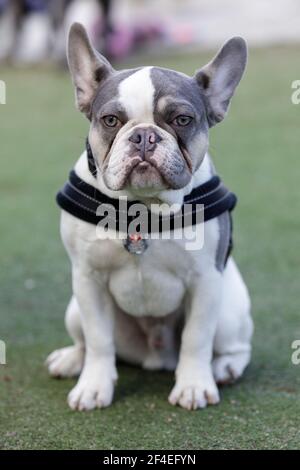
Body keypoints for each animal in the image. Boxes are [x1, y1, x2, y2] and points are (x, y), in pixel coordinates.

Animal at [46, 23, 253, 412]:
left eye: (182, 120)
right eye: (111, 120)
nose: (144, 135)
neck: (142, 208)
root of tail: (155, 357)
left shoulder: (205, 282)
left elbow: (196, 338)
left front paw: (193, 386)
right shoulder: (88, 280)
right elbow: (98, 340)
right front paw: (93, 386)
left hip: (229, 313)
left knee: (233, 346)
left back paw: (224, 367)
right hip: (73, 309)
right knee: (87, 340)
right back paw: (71, 359)